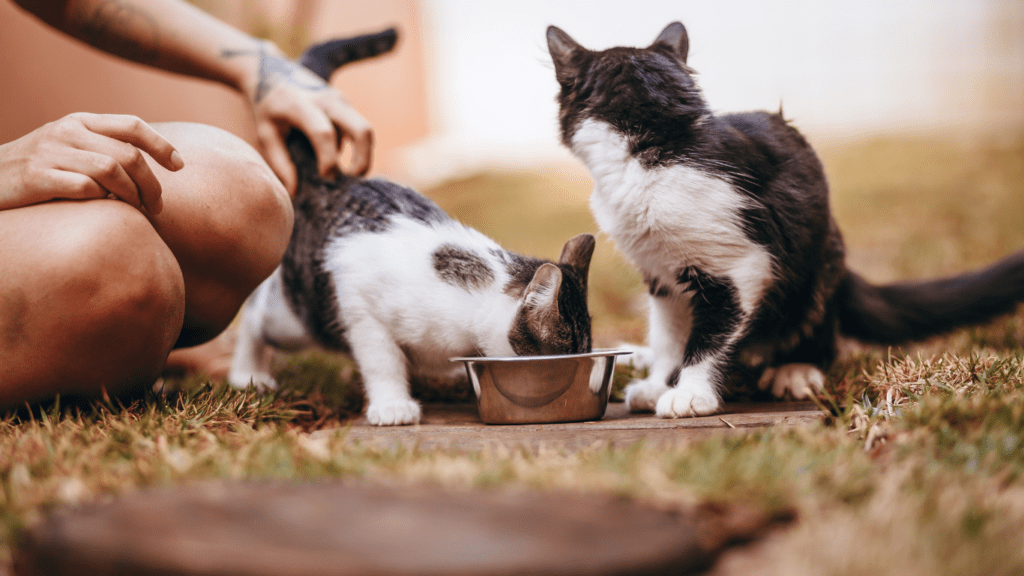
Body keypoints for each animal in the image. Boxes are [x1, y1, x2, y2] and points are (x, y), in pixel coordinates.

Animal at [227, 34, 598, 422]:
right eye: (566, 354)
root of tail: (331, 177)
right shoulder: (360, 307)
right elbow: (382, 361)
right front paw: (392, 404)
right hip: (298, 316)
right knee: (256, 314)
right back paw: (248, 373)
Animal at [548, 22, 1024, 416]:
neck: (658, 146)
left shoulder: (744, 264)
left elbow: (711, 334)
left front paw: (691, 391)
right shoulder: (661, 273)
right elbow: (668, 332)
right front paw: (660, 381)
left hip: (818, 265)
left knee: (817, 325)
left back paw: (796, 368)